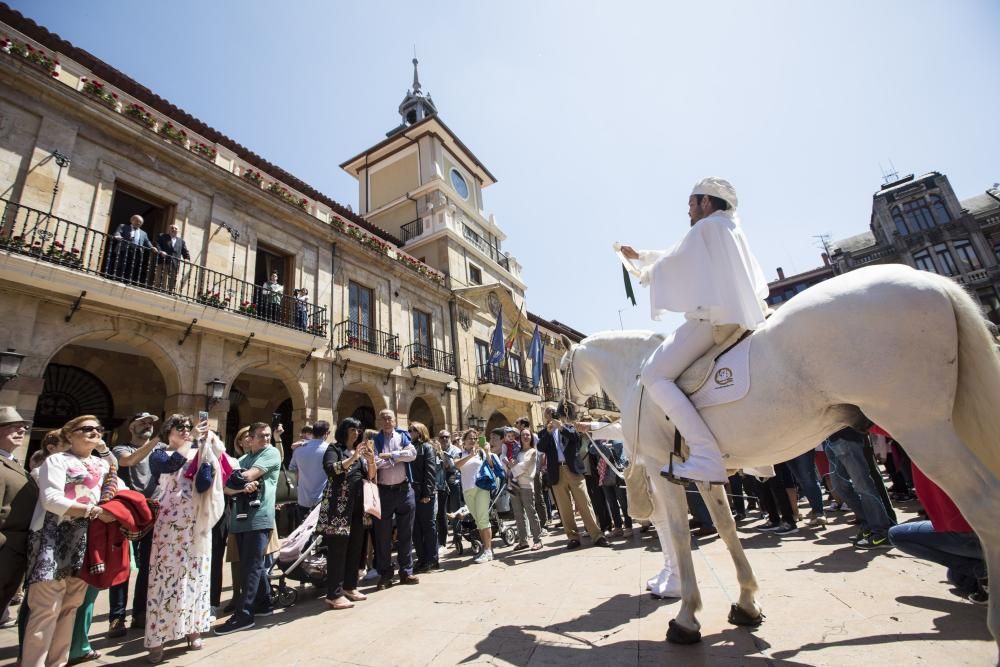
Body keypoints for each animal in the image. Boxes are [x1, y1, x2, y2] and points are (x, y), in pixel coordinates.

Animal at [560, 264, 1000, 652]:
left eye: (562, 368)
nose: (564, 412)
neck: (638, 372)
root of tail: (931, 281)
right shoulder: (705, 470)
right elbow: (726, 528)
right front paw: (747, 603)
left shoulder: (659, 468)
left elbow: (682, 536)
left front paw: (686, 617)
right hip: (956, 416)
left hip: (918, 425)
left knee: (983, 505)